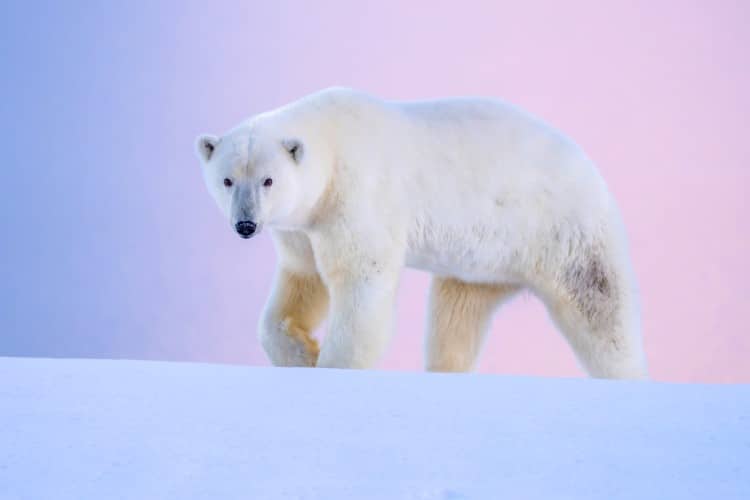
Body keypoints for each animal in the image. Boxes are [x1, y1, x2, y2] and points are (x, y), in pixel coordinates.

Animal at [197, 89, 648, 378]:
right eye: (227, 180)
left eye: (268, 180)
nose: (245, 224)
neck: (332, 141)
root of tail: (590, 169)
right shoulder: (303, 226)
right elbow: (303, 280)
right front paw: (301, 353)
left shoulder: (357, 194)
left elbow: (359, 277)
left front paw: (334, 367)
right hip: (484, 263)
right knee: (456, 314)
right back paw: (444, 371)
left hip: (563, 233)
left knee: (600, 309)